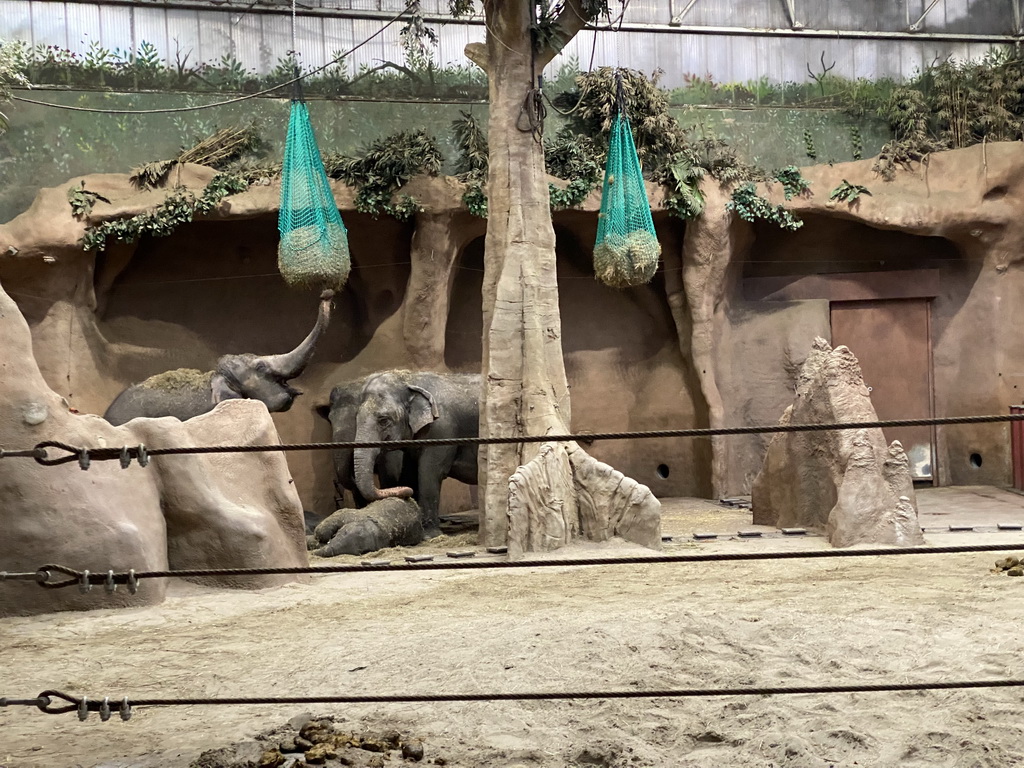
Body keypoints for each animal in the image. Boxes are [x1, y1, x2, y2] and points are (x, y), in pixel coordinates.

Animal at [352, 370, 479, 536]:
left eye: (383, 420)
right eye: (356, 418)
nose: (406, 492)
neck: (411, 379)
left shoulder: (441, 430)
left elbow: (429, 472)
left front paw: (430, 535)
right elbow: (409, 472)